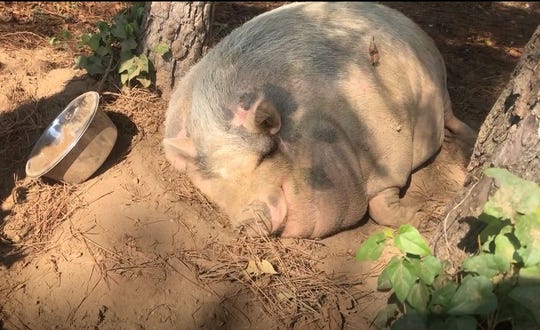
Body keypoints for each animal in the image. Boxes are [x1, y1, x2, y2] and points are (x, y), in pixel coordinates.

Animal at [162, 1, 474, 238]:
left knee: (451, 115)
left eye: (265, 155)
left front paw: (425, 217)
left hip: (439, 83)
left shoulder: (389, 144)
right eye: (211, 181)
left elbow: (381, 204)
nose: (245, 222)